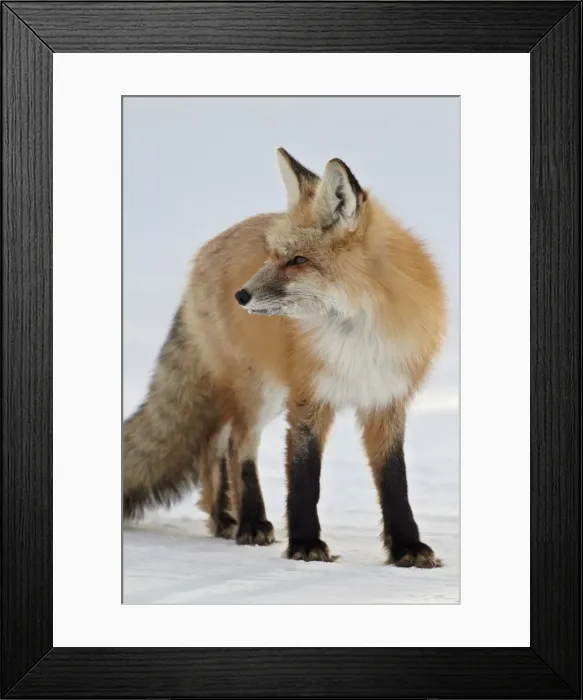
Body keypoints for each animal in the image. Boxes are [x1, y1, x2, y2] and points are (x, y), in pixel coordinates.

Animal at [123, 147, 447, 567]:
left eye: (297, 260)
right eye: (273, 255)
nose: (241, 296)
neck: (357, 334)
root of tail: (206, 250)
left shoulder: (386, 399)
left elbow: (395, 482)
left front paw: (407, 546)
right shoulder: (308, 399)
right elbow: (304, 478)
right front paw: (306, 544)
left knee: (214, 447)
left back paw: (223, 518)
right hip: (258, 389)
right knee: (236, 445)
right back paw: (250, 522)